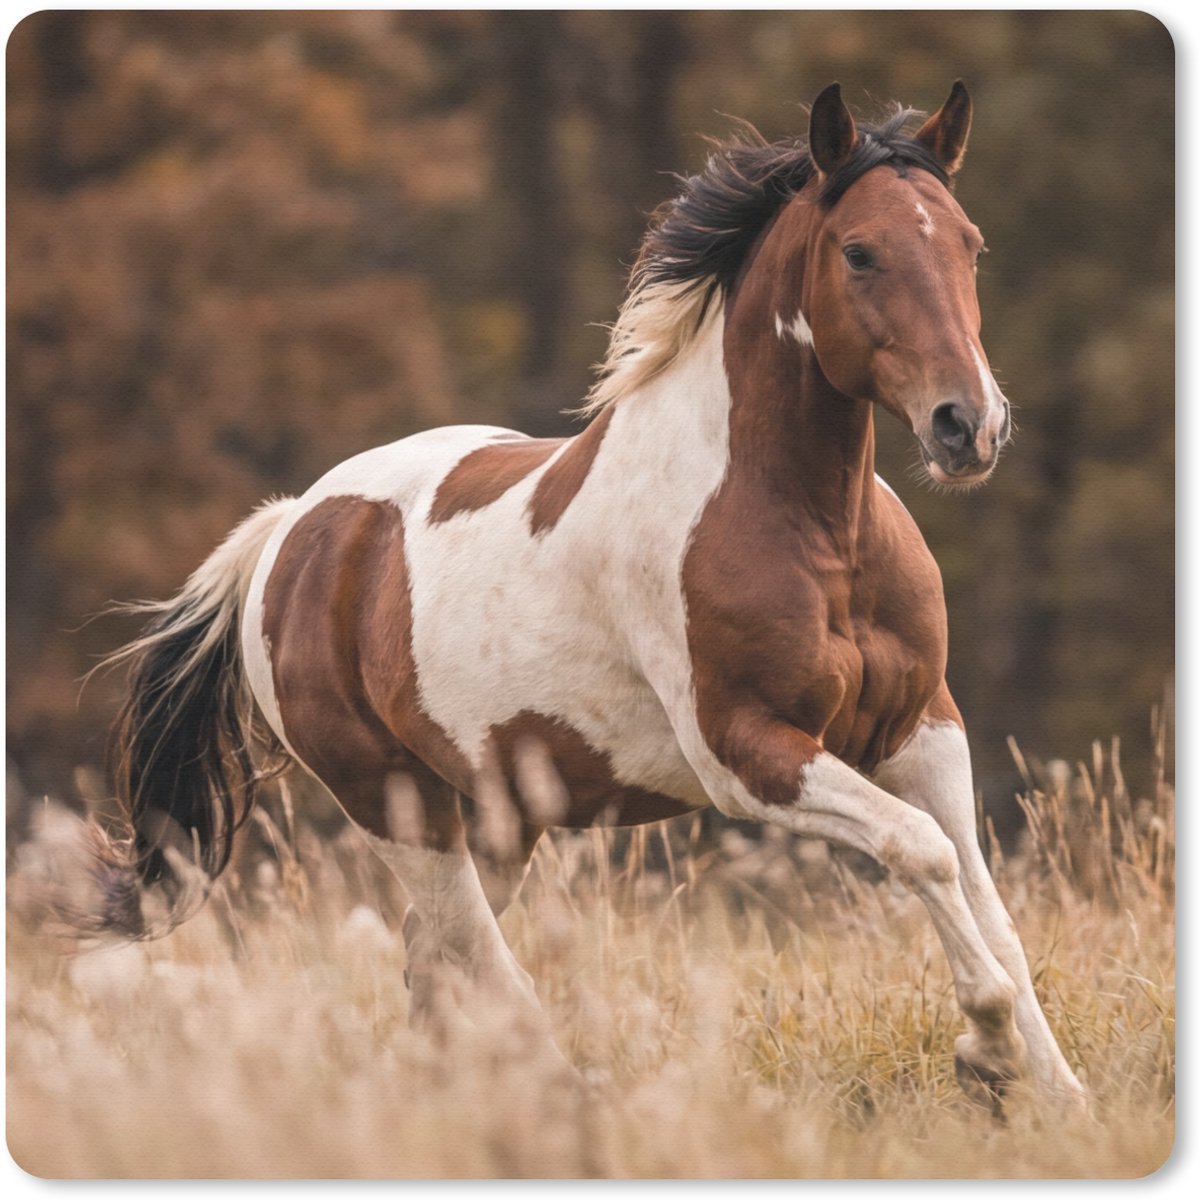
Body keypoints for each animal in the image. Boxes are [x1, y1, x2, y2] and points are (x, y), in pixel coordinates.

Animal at [94, 81, 1085, 1111]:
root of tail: (289, 530)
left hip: (500, 814)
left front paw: (1059, 1097)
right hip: (397, 803)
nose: (968, 426)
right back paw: (569, 1098)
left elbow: (986, 903)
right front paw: (987, 1052)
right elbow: (921, 849)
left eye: (970, 243)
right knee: (479, 963)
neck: (816, 533)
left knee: (434, 959)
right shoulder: (748, 755)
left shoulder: (923, 729)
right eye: (859, 251)